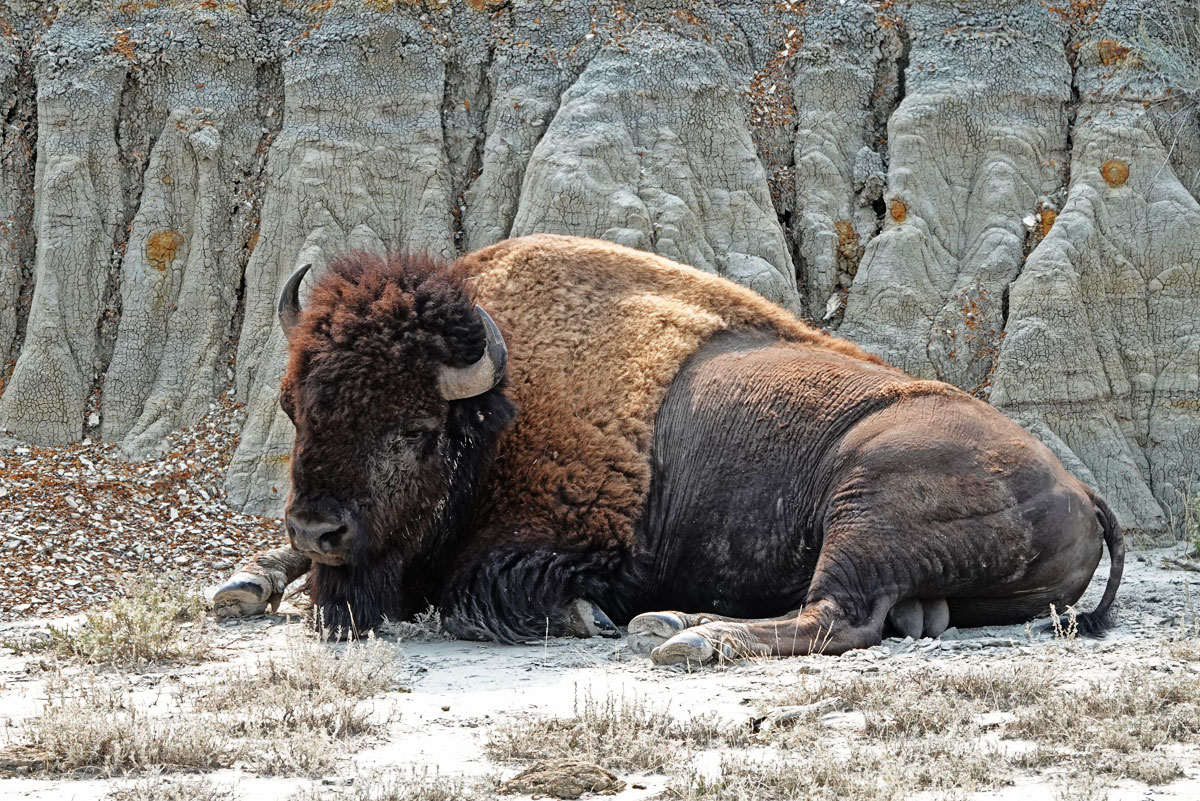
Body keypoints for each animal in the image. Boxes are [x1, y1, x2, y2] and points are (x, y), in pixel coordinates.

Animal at [213, 235, 1123, 663]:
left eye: (415, 429)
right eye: (294, 407)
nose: (319, 528)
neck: (502, 412)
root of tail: (1079, 486)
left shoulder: (571, 541)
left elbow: (477, 590)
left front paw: (582, 615)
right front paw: (247, 583)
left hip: (870, 498)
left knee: (839, 614)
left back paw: (683, 636)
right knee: (877, 612)